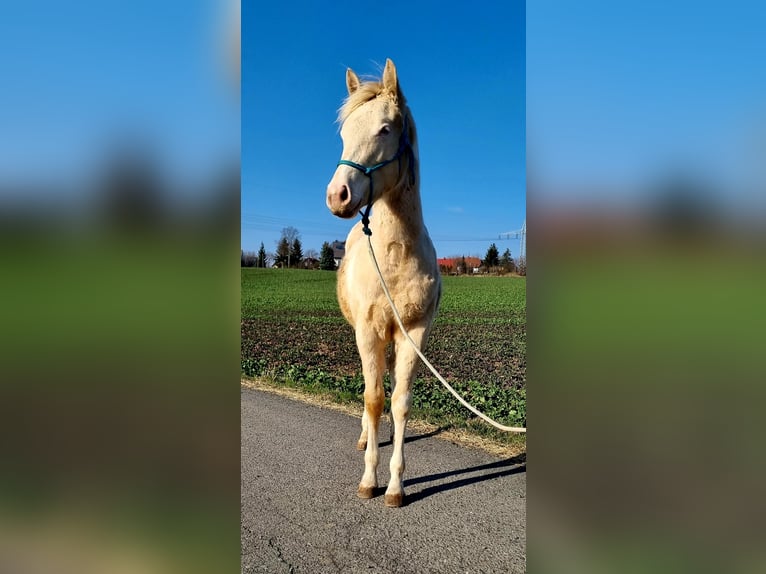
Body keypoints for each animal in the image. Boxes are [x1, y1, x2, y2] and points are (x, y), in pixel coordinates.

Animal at [326, 58, 444, 508]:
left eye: (385, 129)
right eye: (344, 134)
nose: (337, 196)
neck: (394, 256)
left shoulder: (413, 332)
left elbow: (401, 401)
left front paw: (395, 485)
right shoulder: (368, 331)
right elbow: (373, 399)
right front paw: (369, 478)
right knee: (370, 393)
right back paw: (365, 438)